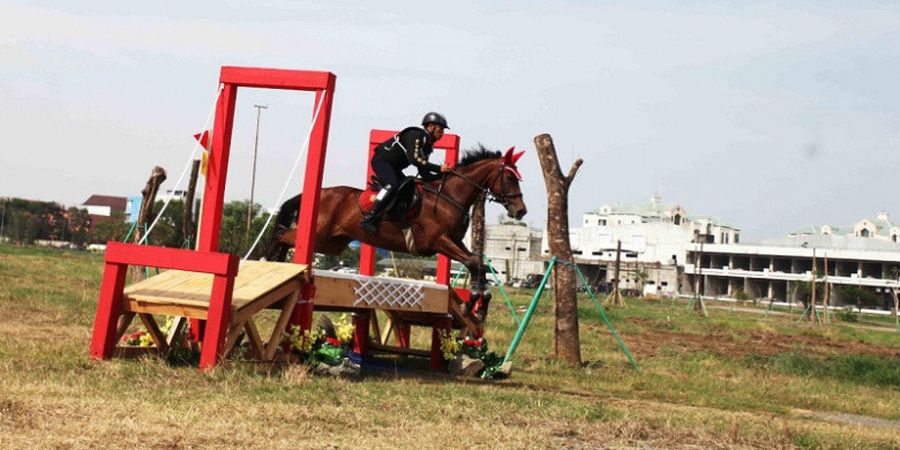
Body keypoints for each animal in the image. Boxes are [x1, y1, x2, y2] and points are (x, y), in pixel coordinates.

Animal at [270, 148, 532, 316]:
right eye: (510, 178)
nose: (521, 210)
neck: (450, 197)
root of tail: (324, 192)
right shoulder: (439, 241)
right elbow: (473, 262)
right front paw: (472, 303)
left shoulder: (455, 241)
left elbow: (479, 263)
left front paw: (482, 302)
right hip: (320, 235)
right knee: (282, 235)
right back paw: (274, 263)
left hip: (332, 243)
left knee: (287, 236)